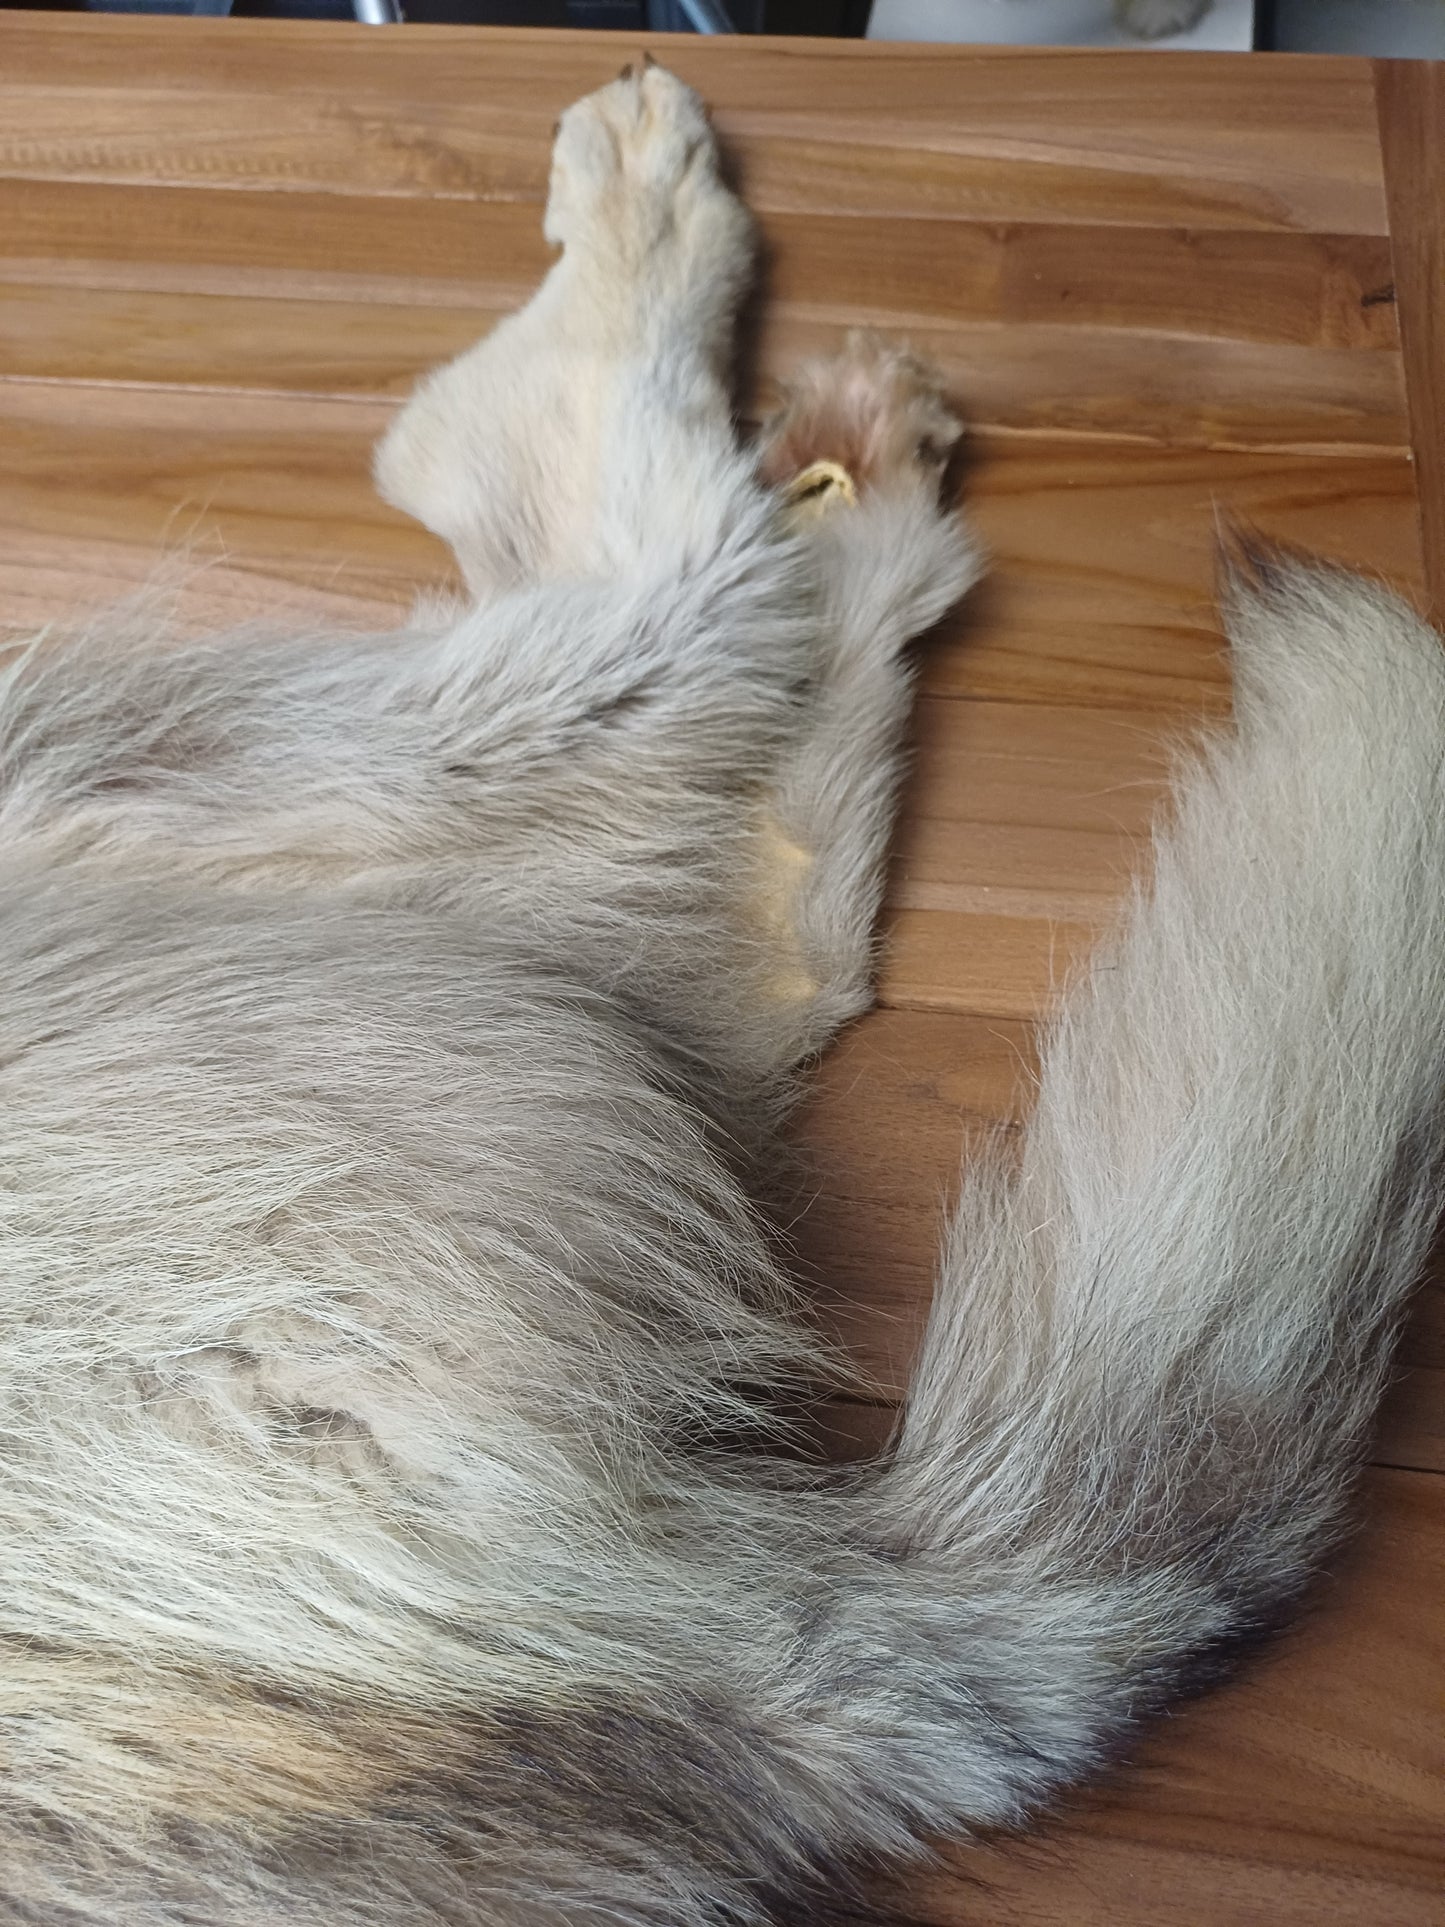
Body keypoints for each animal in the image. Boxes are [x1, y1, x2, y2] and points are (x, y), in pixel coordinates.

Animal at [0, 59, 1440, 1927]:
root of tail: (738, 1644)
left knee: (709, 784)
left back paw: (814, 428)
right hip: (261, 880)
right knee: (657, 643)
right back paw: (689, 284)